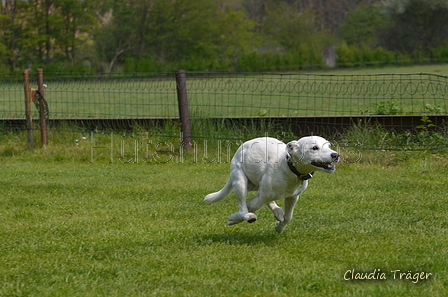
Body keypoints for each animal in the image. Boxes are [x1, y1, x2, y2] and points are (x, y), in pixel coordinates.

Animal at [204, 135, 340, 232]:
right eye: (314, 148)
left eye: (329, 146)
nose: (336, 155)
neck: (289, 168)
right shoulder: (259, 198)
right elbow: (247, 208)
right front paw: (232, 219)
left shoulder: (292, 197)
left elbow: (288, 217)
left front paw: (279, 227)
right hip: (240, 181)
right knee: (243, 207)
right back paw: (248, 216)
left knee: (269, 201)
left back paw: (277, 211)